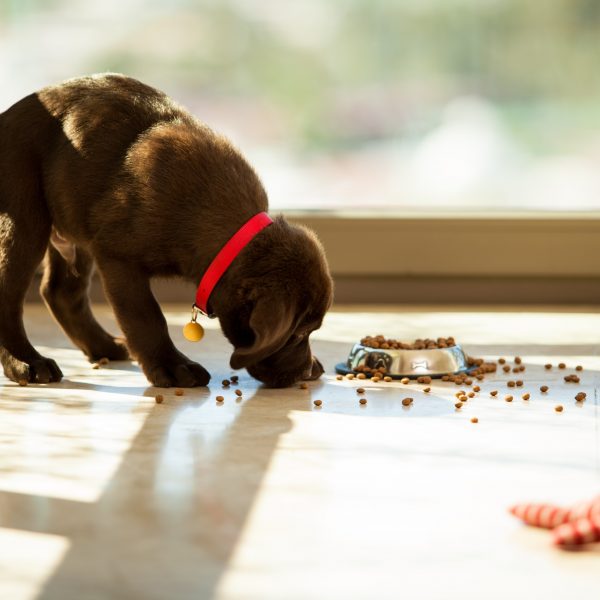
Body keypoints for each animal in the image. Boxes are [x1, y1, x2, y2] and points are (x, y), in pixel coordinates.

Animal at [0, 74, 332, 390]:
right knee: (11, 293)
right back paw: (26, 362)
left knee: (61, 292)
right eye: (298, 333)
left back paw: (104, 347)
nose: (307, 371)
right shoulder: (119, 258)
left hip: (72, 224)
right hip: (25, 219)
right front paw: (173, 366)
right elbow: (147, 316)